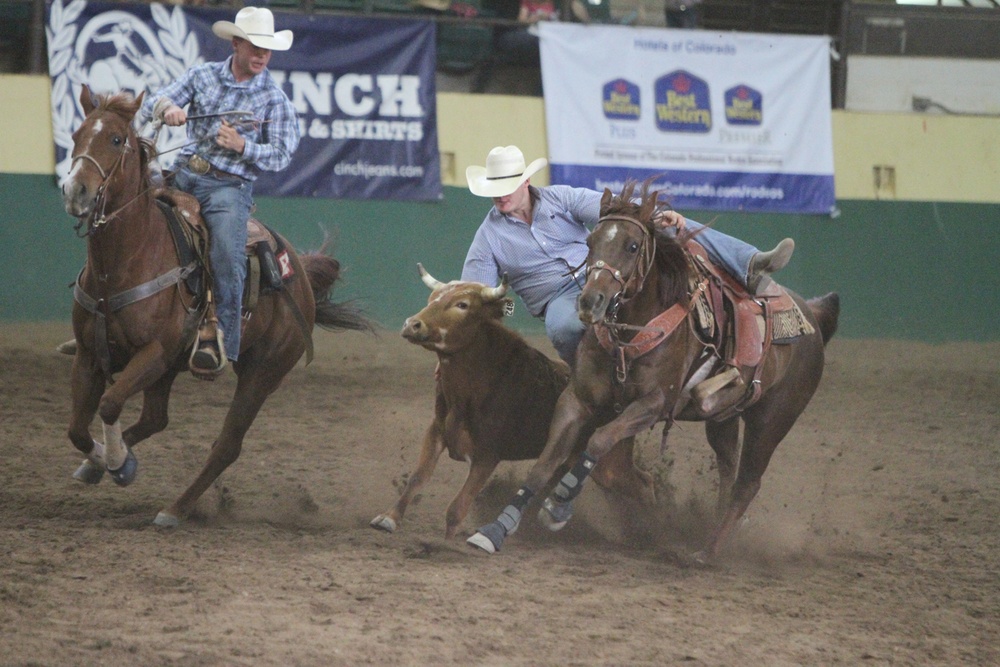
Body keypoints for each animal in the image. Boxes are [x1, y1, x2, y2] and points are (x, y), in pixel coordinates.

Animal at [59, 87, 372, 528]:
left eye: (117, 139)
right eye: (77, 135)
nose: (76, 192)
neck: (125, 261)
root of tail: (300, 273)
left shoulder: (153, 353)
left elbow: (109, 403)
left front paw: (119, 463)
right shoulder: (90, 355)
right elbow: (77, 428)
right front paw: (104, 460)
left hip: (262, 372)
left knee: (227, 445)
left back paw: (175, 508)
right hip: (172, 370)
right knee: (156, 419)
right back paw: (106, 465)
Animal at [466, 180, 836, 560]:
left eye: (632, 246)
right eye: (590, 242)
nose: (591, 302)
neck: (630, 333)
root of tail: (812, 316)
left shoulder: (655, 404)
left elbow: (599, 441)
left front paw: (560, 504)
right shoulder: (578, 399)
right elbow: (544, 464)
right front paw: (496, 528)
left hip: (772, 421)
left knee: (747, 483)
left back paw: (708, 552)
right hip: (724, 418)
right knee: (728, 469)